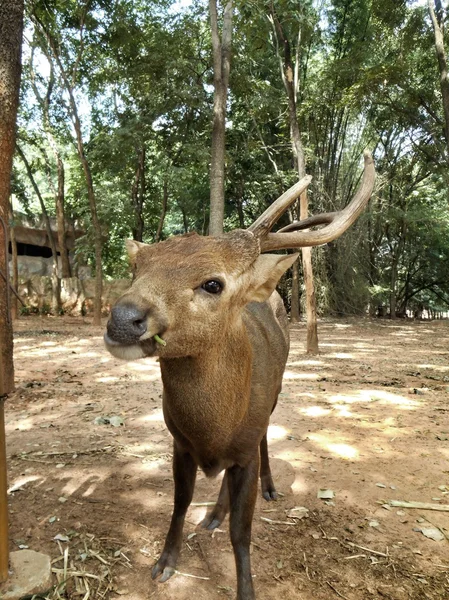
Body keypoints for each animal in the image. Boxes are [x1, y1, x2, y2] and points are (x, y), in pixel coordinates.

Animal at [104, 154, 374, 600]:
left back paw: (268, 487)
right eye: (136, 269)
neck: (213, 432)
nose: (122, 319)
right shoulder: (179, 443)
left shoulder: (245, 446)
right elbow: (180, 503)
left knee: (264, 438)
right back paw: (214, 513)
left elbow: (241, 533)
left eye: (213, 283)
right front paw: (164, 563)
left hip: (275, 394)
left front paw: (245, 588)